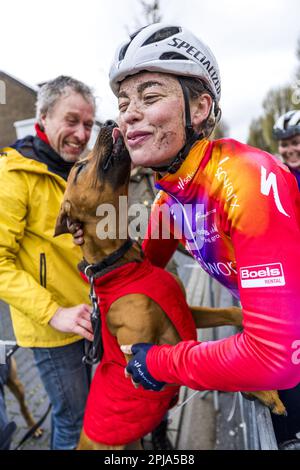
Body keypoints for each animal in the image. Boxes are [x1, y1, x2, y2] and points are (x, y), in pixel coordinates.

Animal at [54, 120, 286, 448]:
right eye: (79, 167)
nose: (111, 122)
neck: (123, 267)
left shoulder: (184, 309)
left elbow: (226, 319)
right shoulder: (147, 359)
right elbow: (198, 361)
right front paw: (262, 390)